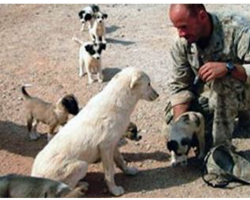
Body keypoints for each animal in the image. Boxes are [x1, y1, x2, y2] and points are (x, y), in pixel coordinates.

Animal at [31, 67, 159, 195]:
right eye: (148, 83)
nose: (158, 95)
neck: (118, 102)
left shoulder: (113, 143)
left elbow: (120, 160)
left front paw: (129, 171)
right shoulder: (105, 146)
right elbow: (109, 172)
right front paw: (114, 190)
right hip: (81, 165)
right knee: (66, 189)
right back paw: (82, 186)